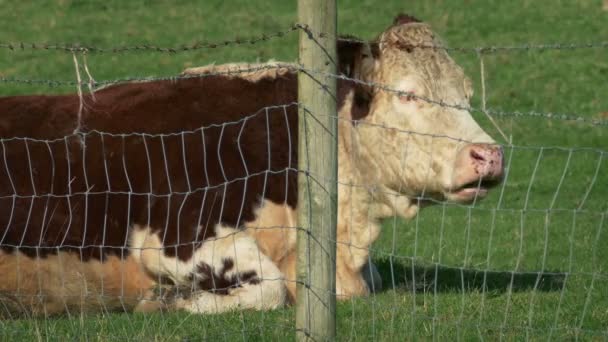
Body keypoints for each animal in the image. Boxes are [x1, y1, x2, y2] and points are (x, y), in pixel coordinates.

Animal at [0, 14, 504, 316]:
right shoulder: (174, 239)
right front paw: (167, 300)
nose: (489, 155)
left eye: (466, 94)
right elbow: (269, 289)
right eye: (407, 94)